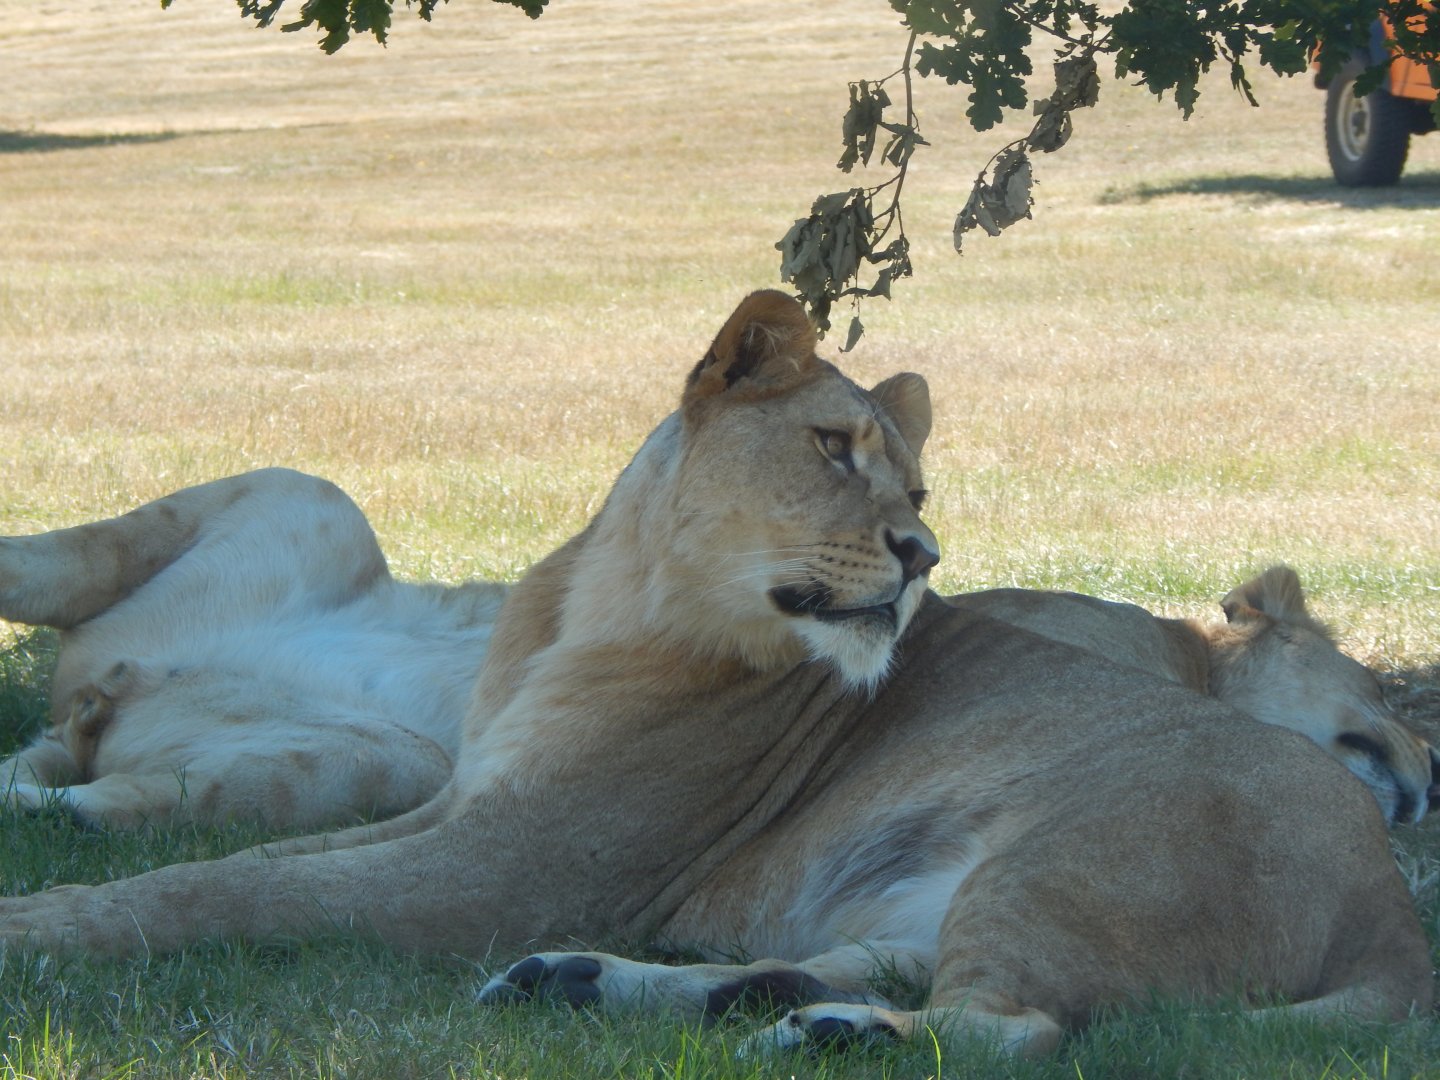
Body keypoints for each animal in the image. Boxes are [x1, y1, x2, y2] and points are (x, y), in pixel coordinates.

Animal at [0, 291, 1431, 1057]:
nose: (925, 556)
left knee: (1009, 1030)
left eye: (918, 490)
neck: (598, 604)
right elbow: (250, 863)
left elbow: (218, 891)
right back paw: (614, 986)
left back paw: (819, 1035)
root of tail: (1396, 915)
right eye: (833, 447)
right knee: (886, 973)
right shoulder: (459, 806)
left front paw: (36, 928)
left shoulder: (498, 871)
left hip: (1060, 862)